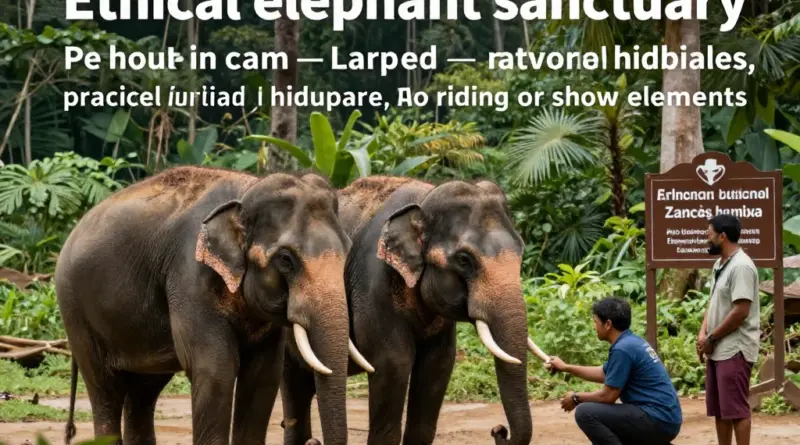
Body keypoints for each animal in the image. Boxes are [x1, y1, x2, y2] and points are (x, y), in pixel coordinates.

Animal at [55, 166, 373, 445]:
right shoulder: (189, 275)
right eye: (285, 259)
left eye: (347, 251)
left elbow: (263, 374)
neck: (247, 191)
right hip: (75, 311)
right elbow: (215, 368)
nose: (314, 441)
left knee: (144, 391)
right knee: (105, 389)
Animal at [279, 176, 548, 445]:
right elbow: (393, 362)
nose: (499, 430)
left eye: (520, 250)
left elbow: (437, 365)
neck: (423, 200)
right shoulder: (372, 285)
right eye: (464, 260)